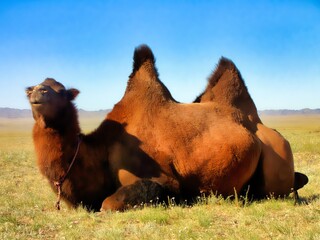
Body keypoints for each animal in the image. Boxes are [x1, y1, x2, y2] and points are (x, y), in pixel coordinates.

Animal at [26, 44, 262, 210]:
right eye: (33, 88)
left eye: (61, 91)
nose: (38, 91)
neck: (102, 149)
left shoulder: (162, 178)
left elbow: (108, 204)